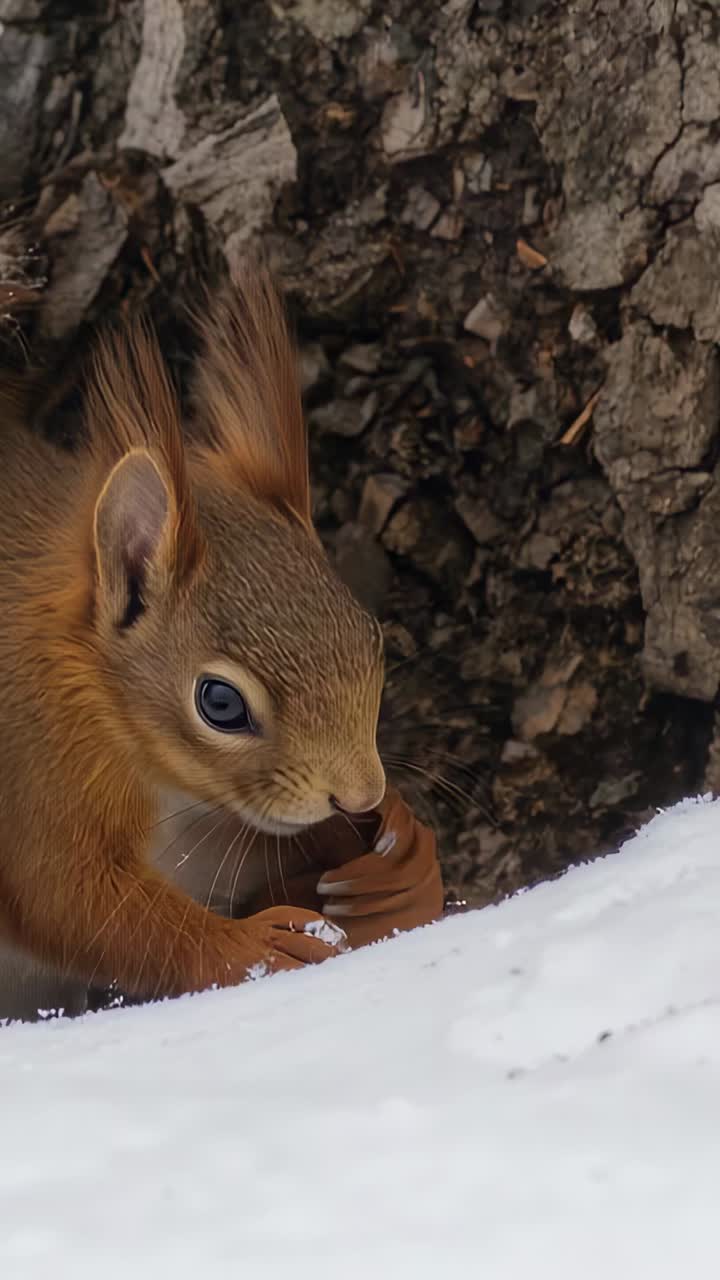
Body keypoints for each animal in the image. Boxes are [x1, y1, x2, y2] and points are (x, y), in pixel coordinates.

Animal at [0, 264, 407, 1004]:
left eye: (373, 639)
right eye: (220, 704)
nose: (363, 795)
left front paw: (394, 853)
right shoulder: (31, 781)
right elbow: (78, 905)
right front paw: (256, 947)